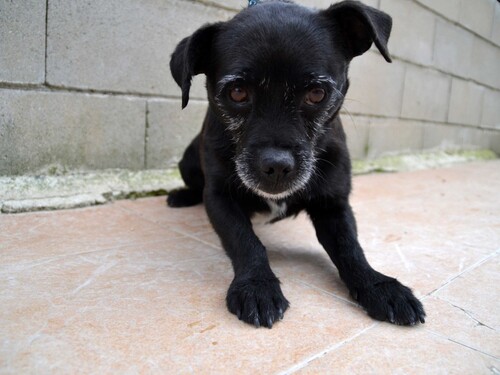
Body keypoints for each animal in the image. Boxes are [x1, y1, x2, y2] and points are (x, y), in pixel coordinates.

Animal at [168, 0, 426, 328]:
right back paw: (181, 196)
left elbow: (350, 248)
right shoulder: (219, 197)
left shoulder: (333, 204)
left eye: (317, 94)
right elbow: (245, 241)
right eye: (237, 92)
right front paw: (257, 286)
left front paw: (378, 285)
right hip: (189, 160)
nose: (276, 166)